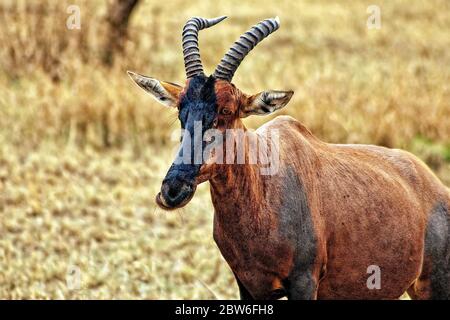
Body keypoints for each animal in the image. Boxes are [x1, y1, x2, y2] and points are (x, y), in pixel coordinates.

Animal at [127, 16, 450, 298]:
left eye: (226, 111)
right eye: (180, 111)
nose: (172, 190)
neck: (263, 191)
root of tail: (434, 184)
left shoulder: (304, 282)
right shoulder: (248, 287)